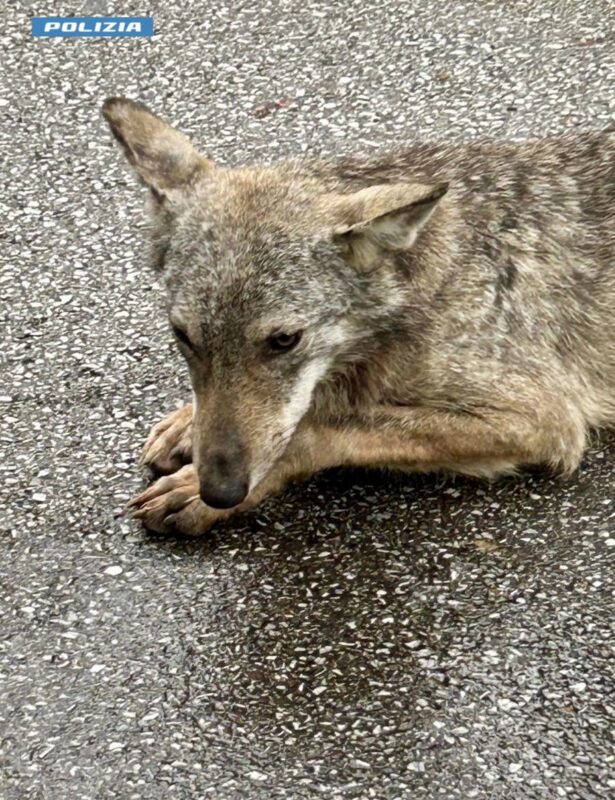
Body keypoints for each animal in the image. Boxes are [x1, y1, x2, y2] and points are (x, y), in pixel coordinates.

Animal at [101, 98, 614, 536]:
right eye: (183, 336)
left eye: (285, 340)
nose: (219, 491)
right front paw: (187, 423)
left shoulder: (542, 420)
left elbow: (321, 430)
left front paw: (201, 489)